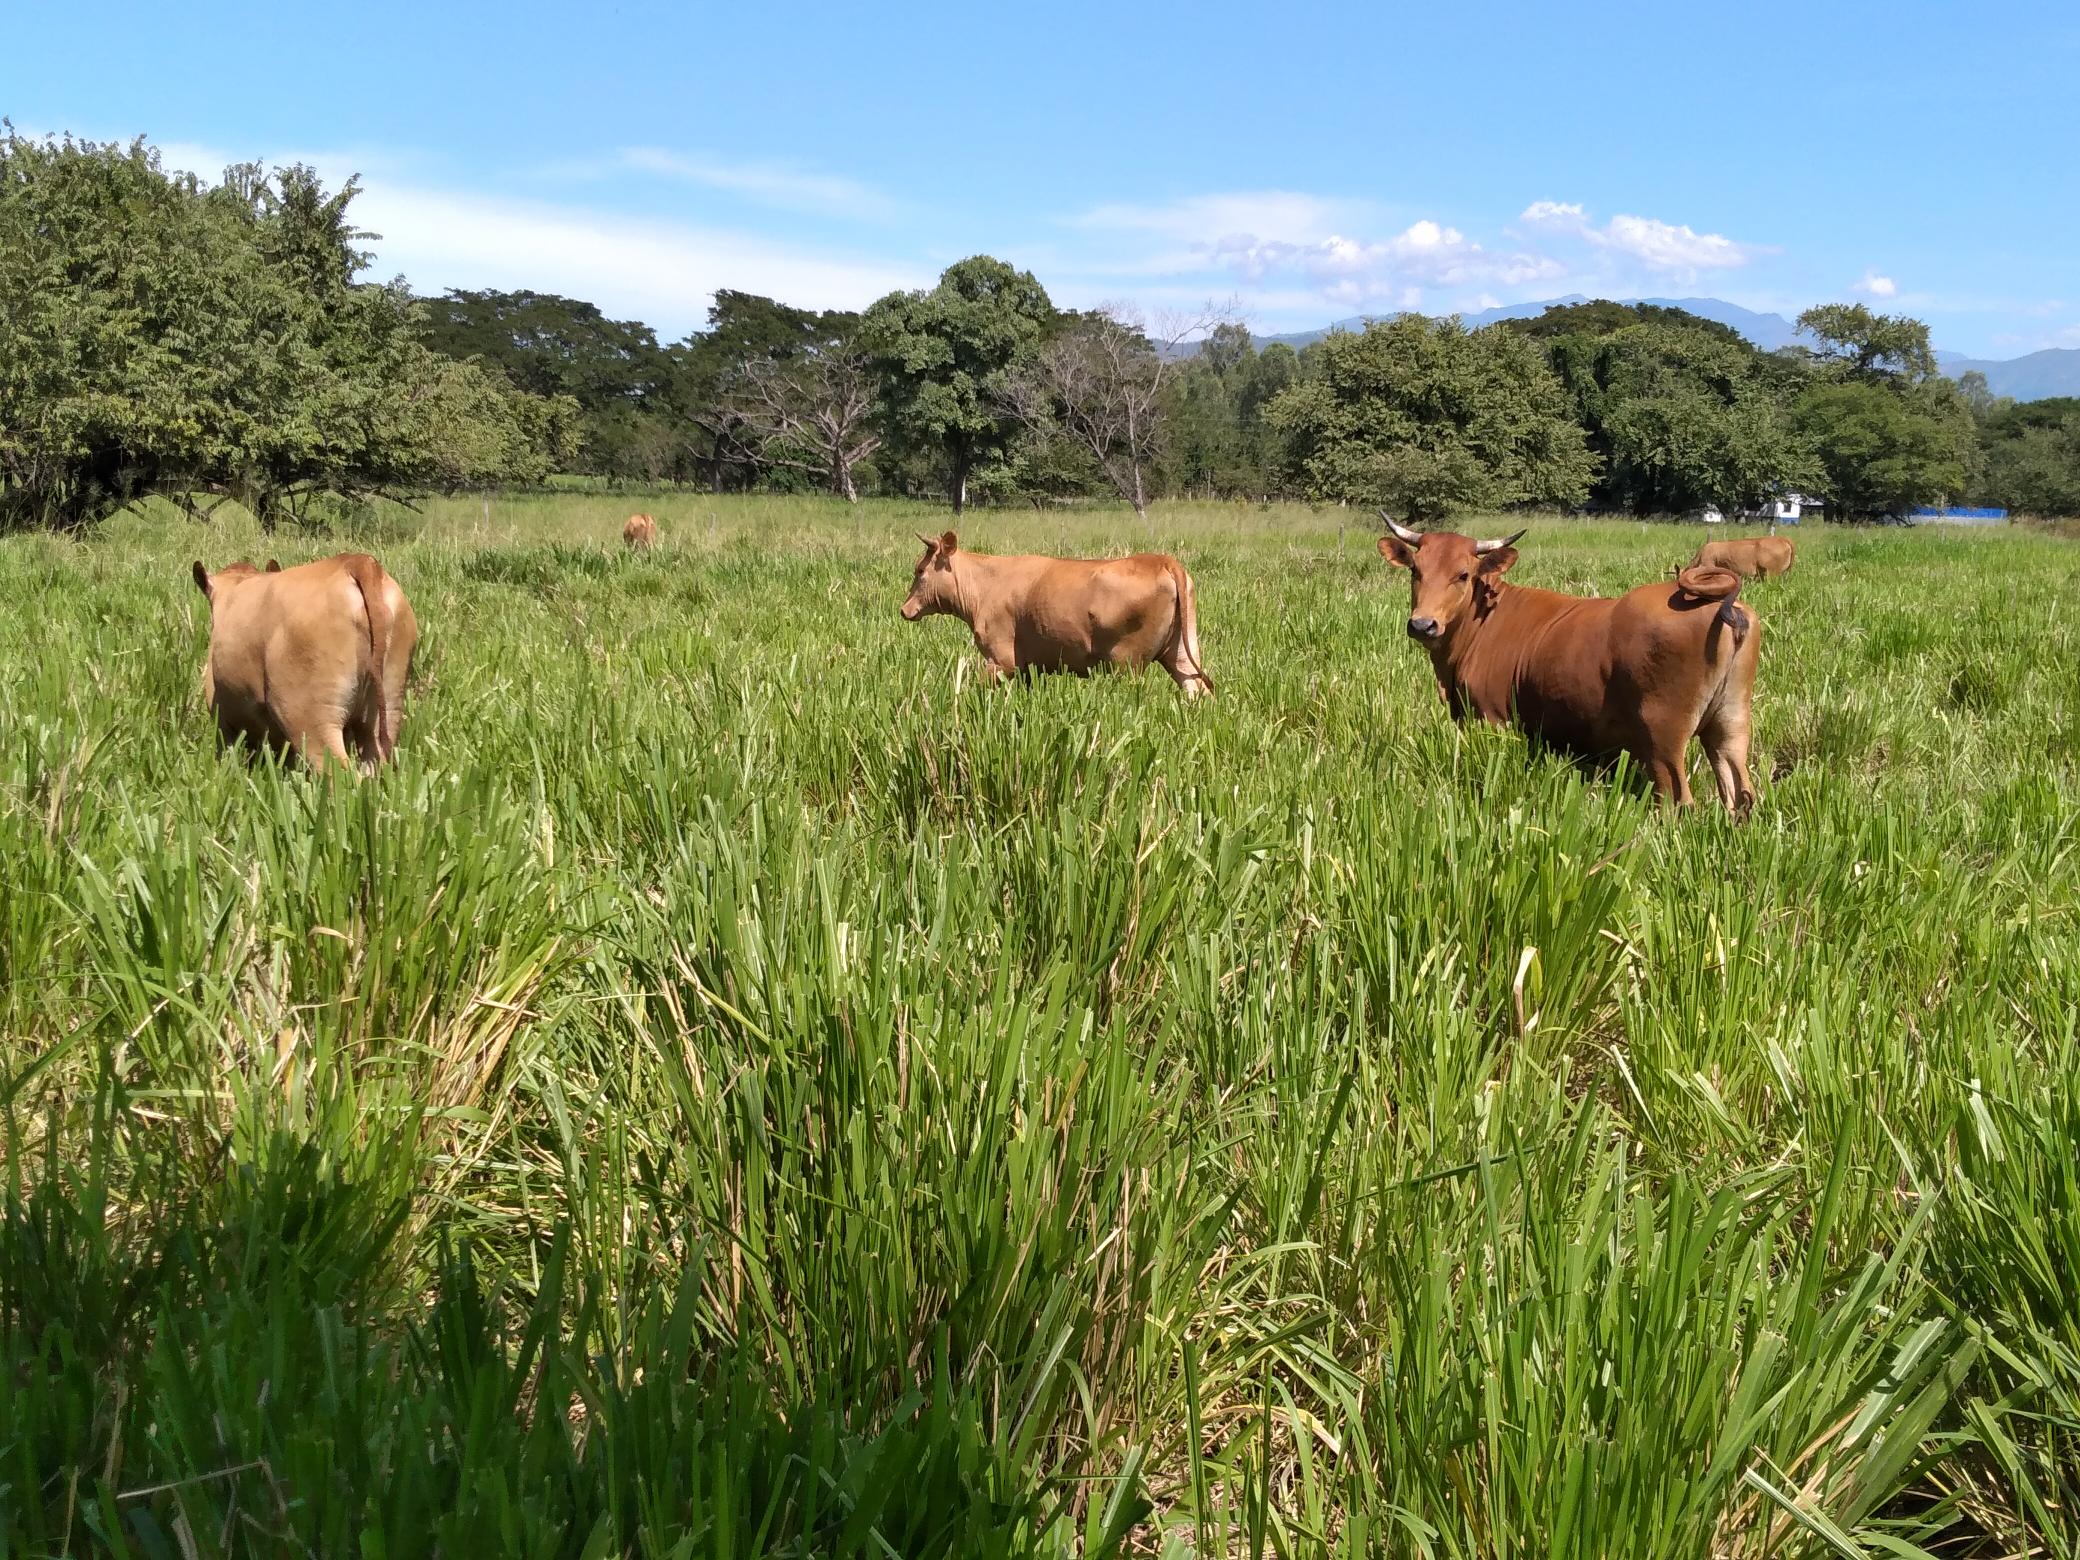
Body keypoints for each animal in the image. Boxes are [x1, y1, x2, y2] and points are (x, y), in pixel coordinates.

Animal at [898, 536, 1214, 698]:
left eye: (920, 570)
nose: (904, 609)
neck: (985, 584)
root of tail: (1162, 560)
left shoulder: (1001, 659)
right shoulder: (1027, 667)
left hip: (1127, 663)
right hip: (1181, 651)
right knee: (1196, 688)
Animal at [1381, 522, 1755, 819]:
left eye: (1463, 575)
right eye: (1415, 571)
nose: (1423, 624)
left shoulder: (1491, 718)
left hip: (1663, 737)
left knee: (1678, 801)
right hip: (1730, 723)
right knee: (1740, 791)